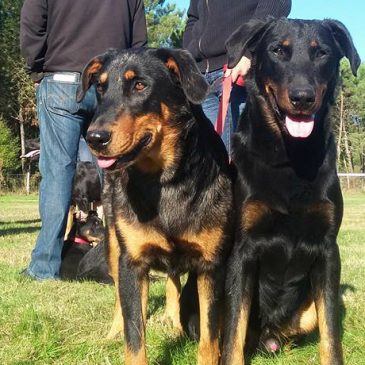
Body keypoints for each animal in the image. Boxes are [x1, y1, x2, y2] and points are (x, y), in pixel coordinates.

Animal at [77, 48, 233, 364]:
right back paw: (115, 330)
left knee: (173, 281)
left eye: (140, 85)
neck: (166, 181)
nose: (94, 138)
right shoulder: (132, 262)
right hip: (115, 244)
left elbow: (210, 338)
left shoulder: (212, 265)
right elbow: (134, 336)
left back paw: (172, 321)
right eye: (100, 87)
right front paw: (126, 334)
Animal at [220, 17, 360, 364]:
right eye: (277, 51)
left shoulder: (328, 250)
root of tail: (267, 336)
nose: (302, 97)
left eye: (322, 53)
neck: (289, 157)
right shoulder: (243, 251)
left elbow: (331, 333)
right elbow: (233, 333)